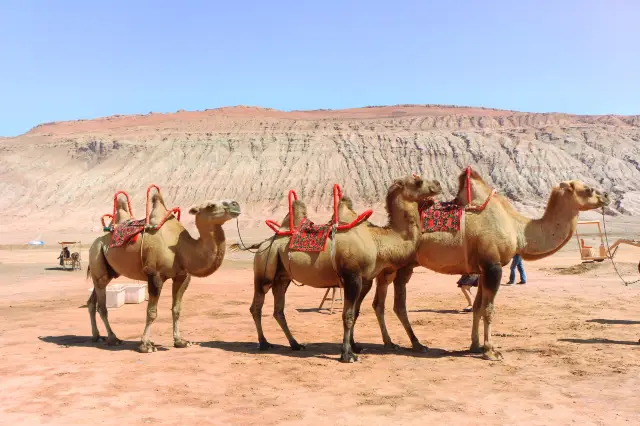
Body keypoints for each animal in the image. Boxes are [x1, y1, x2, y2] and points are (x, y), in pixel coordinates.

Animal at [87, 191, 241, 353]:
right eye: (211, 205)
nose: (236, 204)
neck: (181, 248)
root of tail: (96, 241)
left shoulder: (182, 276)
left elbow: (177, 309)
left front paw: (180, 341)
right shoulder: (154, 275)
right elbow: (151, 312)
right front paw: (146, 345)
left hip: (106, 273)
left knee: (92, 301)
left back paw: (97, 336)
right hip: (96, 257)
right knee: (102, 307)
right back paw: (113, 338)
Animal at [236, 175, 442, 363]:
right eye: (417, 181)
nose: (438, 184)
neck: (377, 241)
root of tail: (262, 244)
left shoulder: (365, 280)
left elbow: (355, 312)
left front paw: (356, 347)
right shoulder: (352, 277)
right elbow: (348, 315)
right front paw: (347, 355)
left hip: (282, 277)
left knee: (278, 310)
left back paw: (295, 344)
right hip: (264, 268)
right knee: (256, 306)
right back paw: (264, 343)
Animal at [371, 167, 610, 360]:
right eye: (588, 189)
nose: (607, 196)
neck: (517, 228)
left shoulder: (482, 270)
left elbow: (477, 307)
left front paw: (475, 345)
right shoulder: (493, 266)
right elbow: (489, 309)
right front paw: (490, 351)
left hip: (399, 266)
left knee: (383, 302)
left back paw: (398, 343)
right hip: (401, 266)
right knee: (397, 304)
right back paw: (413, 344)